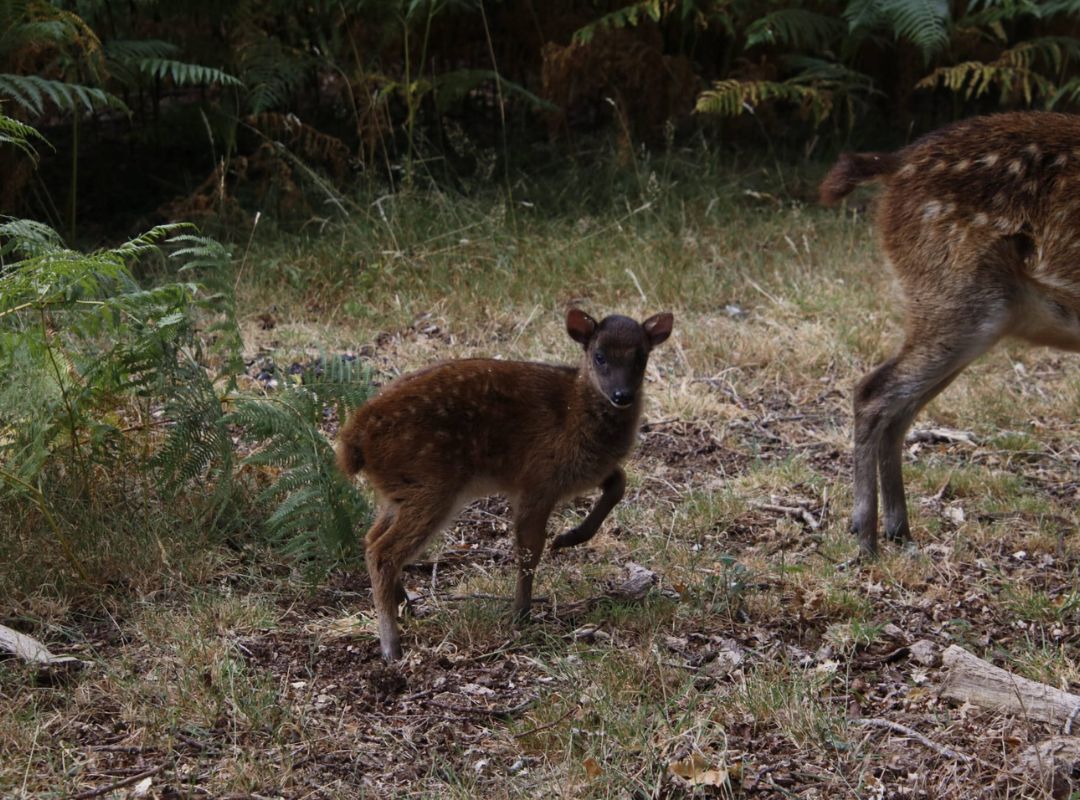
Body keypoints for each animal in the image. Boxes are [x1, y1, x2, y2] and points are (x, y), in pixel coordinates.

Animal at [336, 309, 674, 661]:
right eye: (600, 356)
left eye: (641, 357)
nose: (622, 395)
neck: (575, 413)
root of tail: (353, 441)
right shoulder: (538, 479)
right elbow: (529, 549)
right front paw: (521, 613)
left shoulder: (580, 474)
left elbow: (618, 482)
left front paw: (568, 538)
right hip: (430, 486)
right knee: (383, 551)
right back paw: (391, 645)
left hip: (398, 491)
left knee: (371, 538)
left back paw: (406, 605)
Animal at [820, 110, 1080, 557]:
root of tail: (897, 163)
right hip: (957, 301)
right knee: (873, 391)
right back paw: (866, 537)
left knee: (899, 409)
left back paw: (899, 532)